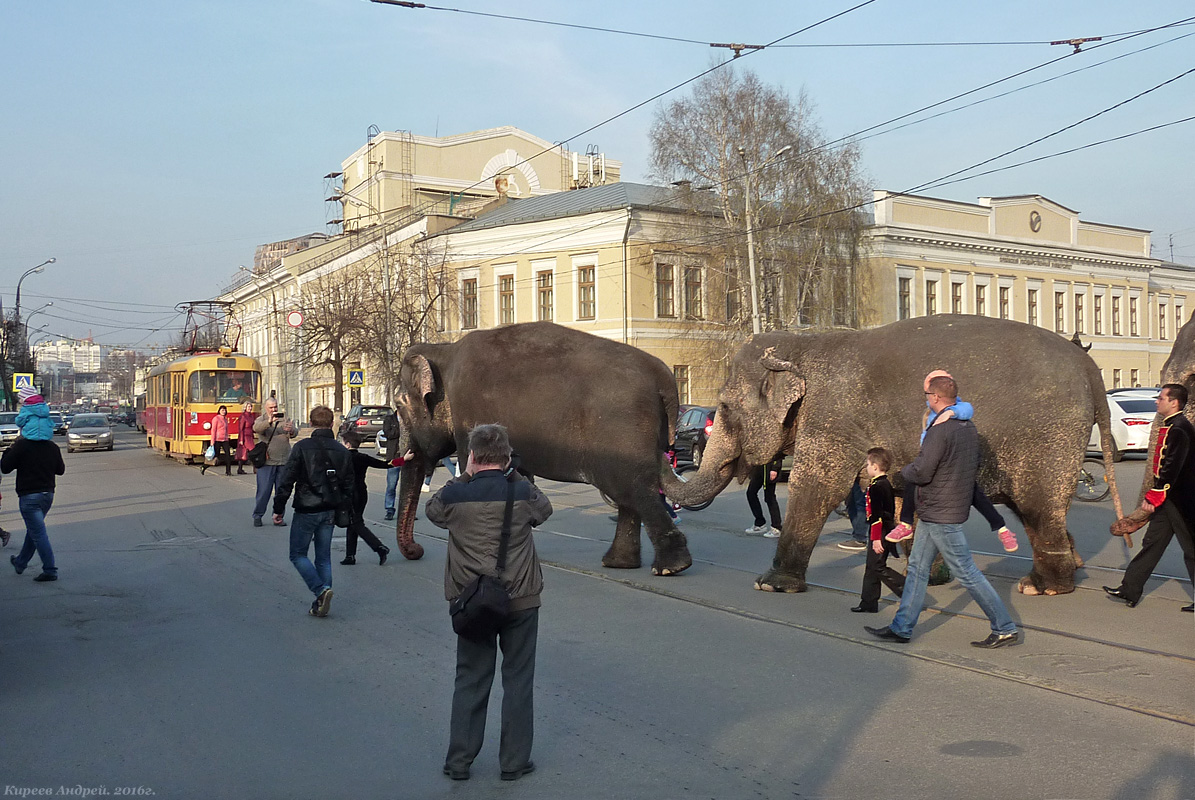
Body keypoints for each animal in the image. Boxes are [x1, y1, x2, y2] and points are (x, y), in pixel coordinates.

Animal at [389, 318, 693, 573]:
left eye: (399, 406)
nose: (417, 550)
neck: (445, 352)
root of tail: (664, 376)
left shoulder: (468, 414)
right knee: (630, 495)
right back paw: (619, 563)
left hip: (623, 431)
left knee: (634, 489)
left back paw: (670, 567)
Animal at [669, 315, 1123, 595]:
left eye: (725, 406)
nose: (683, 448)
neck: (805, 346)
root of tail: (1089, 367)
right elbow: (907, 496)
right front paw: (927, 577)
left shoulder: (832, 416)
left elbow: (817, 486)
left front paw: (771, 584)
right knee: (1036, 512)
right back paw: (1071, 566)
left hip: (1047, 438)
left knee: (1037, 507)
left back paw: (1042, 586)